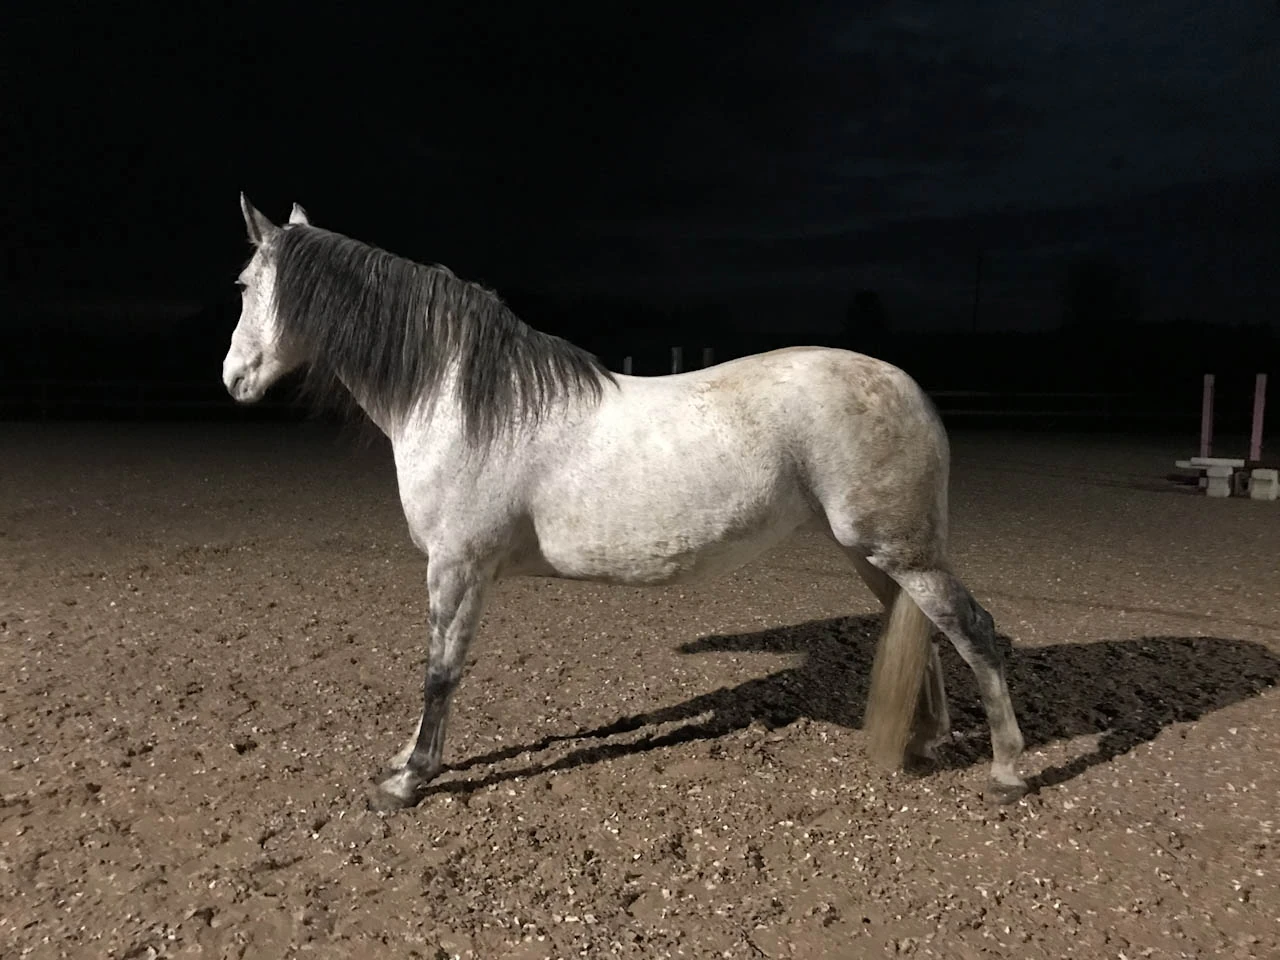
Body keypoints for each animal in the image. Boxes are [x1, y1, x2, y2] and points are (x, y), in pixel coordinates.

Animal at [221, 195, 1028, 812]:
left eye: (243, 285)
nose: (233, 378)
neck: (463, 403)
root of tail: (907, 387)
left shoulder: (458, 567)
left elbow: (440, 671)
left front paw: (408, 780)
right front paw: (404, 763)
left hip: (902, 553)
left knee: (973, 631)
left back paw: (1008, 770)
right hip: (874, 556)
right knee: (921, 628)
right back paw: (925, 741)